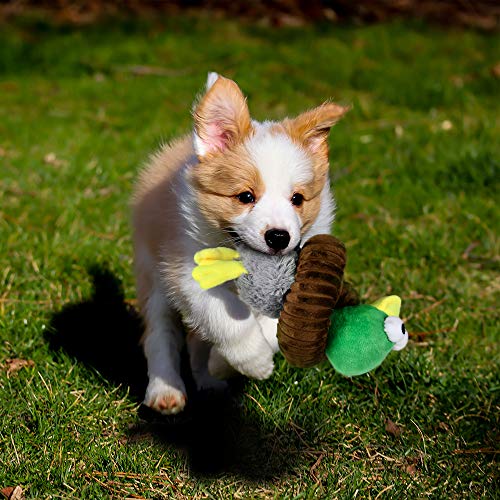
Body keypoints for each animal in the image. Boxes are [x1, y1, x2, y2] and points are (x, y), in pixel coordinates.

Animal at [132, 71, 348, 414]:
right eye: (245, 196)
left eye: (297, 199)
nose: (279, 237)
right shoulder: (187, 272)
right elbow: (226, 318)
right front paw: (254, 362)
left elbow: (271, 327)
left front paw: (223, 364)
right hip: (152, 275)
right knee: (160, 335)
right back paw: (165, 390)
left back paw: (208, 379)